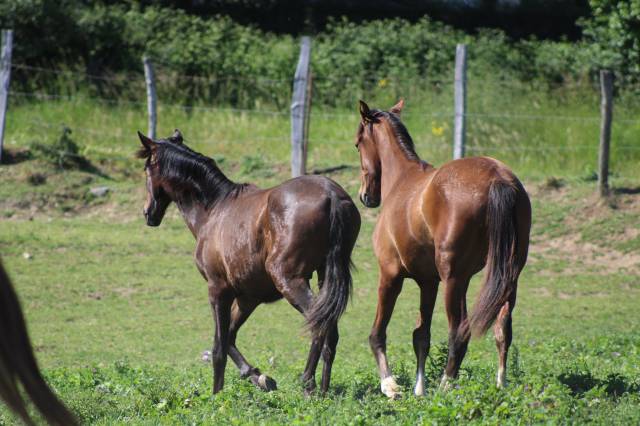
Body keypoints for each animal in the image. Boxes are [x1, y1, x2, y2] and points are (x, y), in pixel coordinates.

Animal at [135, 130, 360, 395]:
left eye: (146, 169)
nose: (148, 213)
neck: (214, 210)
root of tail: (331, 195)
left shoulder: (218, 290)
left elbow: (219, 347)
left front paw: (217, 394)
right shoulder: (248, 297)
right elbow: (230, 337)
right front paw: (258, 377)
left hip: (290, 281)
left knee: (318, 324)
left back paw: (307, 383)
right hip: (325, 277)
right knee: (330, 331)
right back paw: (323, 390)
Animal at [355, 100, 531, 398]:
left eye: (358, 144)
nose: (365, 196)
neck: (402, 180)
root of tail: (499, 178)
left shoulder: (390, 276)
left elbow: (377, 333)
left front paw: (389, 384)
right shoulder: (428, 282)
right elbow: (421, 336)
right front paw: (419, 388)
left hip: (454, 280)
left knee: (460, 330)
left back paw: (447, 383)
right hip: (508, 276)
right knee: (503, 328)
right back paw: (501, 383)